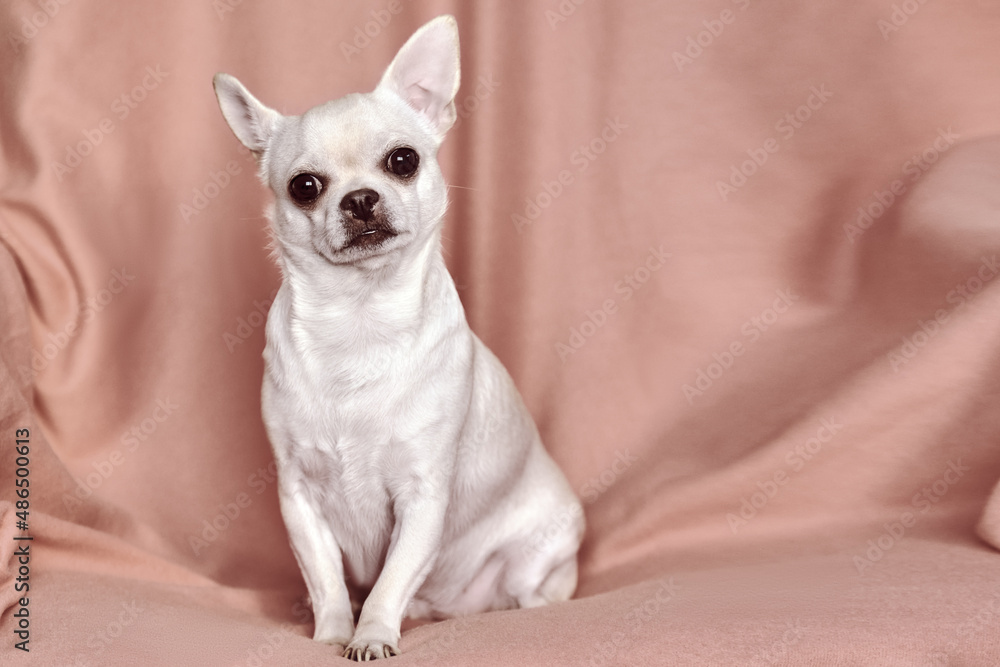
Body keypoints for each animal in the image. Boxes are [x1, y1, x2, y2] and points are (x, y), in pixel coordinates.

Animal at [213, 13, 584, 660]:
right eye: (304, 186)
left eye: (403, 160)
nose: (360, 197)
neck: (360, 318)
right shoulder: (299, 499)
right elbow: (326, 579)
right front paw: (333, 632)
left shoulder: (422, 498)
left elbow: (390, 580)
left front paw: (373, 635)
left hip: (541, 551)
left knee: (529, 592)